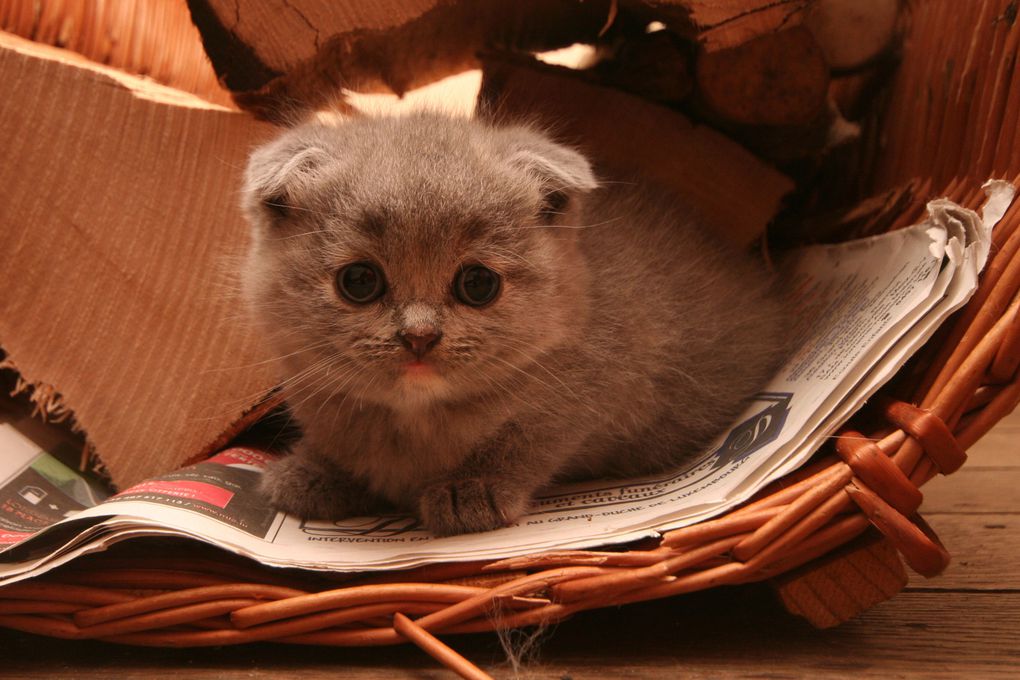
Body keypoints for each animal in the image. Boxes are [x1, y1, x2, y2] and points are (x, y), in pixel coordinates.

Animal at [240, 111, 787, 538]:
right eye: (359, 280)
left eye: (478, 284)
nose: (419, 337)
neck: (416, 419)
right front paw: (314, 471)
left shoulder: (596, 390)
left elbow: (525, 442)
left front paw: (471, 489)